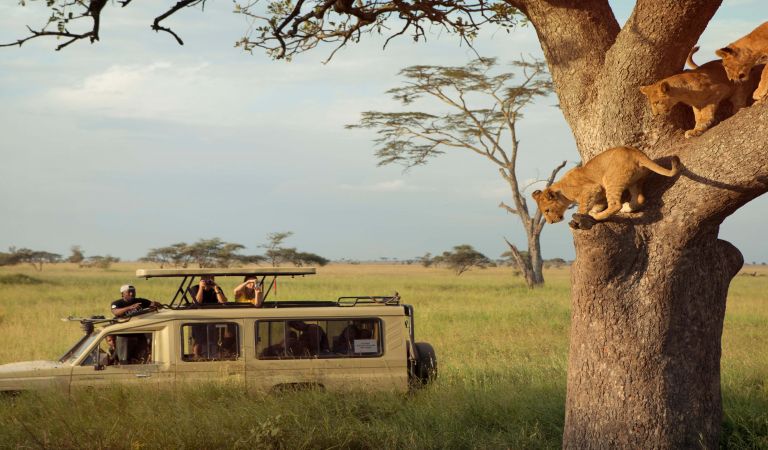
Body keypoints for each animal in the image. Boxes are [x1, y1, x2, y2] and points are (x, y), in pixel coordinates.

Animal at [532, 146, 680, 230]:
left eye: (547, 210)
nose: (551, 222)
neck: (561, 190)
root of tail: (636, 153)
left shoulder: (591, 188)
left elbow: (583, 207)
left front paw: (581, 217)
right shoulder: (599, 194)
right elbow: (596, 204)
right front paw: (592, 211)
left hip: (610, 179)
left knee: (615, 205)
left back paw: (598, 217)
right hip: (635, 182)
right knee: (640, 199)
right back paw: (627, 207)